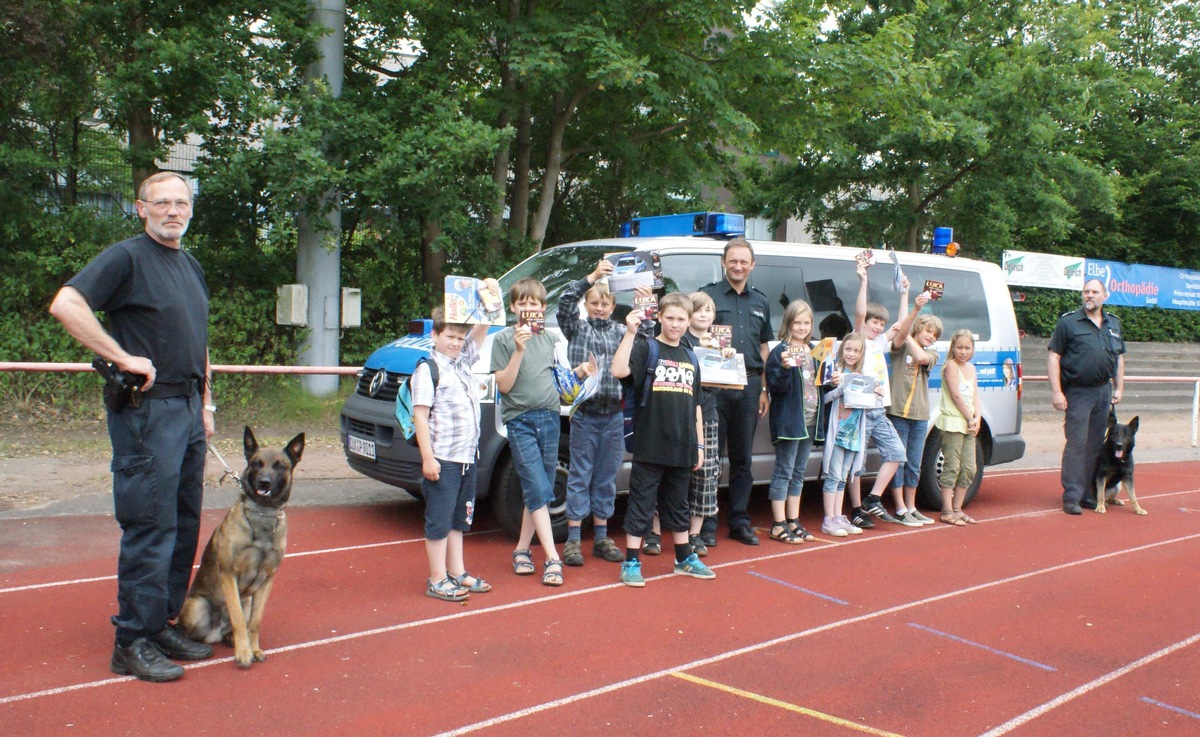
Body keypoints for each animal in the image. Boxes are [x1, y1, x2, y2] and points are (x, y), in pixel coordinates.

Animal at [181, 427, 307, 672]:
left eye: (279, 465)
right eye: (257, 463)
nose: (264, 482)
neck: (263, 515)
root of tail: (214, 632)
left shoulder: (266, 581)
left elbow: (254, 622)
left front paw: (253, 648)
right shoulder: (229, 576)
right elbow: (239, 619)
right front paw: (243, 653)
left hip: (247, 600)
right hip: (196, 606)